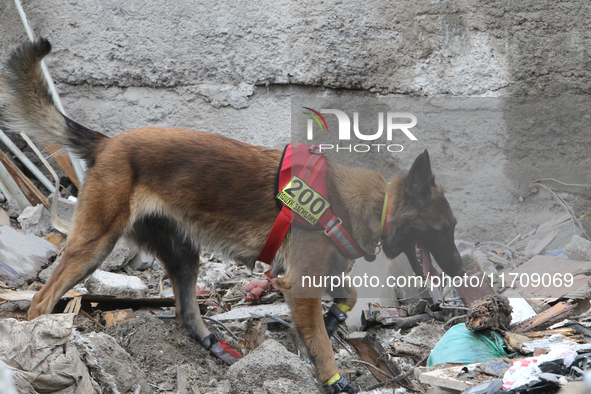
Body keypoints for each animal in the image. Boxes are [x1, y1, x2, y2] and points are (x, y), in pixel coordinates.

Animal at [1, 38, 468, 392]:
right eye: (444, 229)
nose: (462, 273)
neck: (366, 203)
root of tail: (107, 143)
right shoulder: (300, 281)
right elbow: (320, 342)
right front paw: (333, 378)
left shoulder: (314, 272)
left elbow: (346, 298)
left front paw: (335, 316)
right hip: (94, 246)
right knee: (40, 301)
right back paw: (37, 348)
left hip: (182, 255)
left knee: (187, 312)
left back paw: (216, 346)